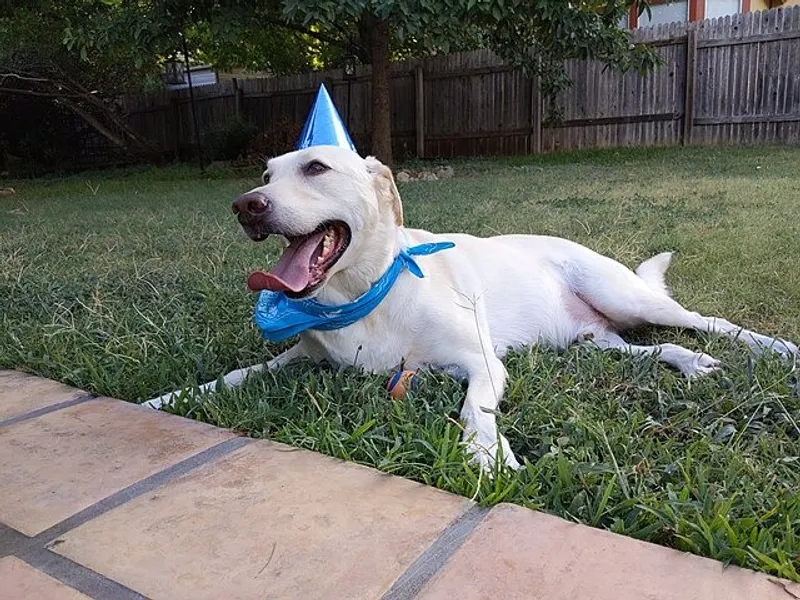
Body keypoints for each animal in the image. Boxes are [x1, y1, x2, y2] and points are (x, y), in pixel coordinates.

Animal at [146, 145, 797, 470]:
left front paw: (486, 453)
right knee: (648, 348)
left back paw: (776, 349)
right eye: (264, 174)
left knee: (705, 321)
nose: (245, 205)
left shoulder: (481, 360)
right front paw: (166, 400)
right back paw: (689, 363)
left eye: (315, 168)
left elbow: (474, 407)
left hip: (624, 295)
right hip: (592, 341)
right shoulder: (300, 359)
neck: (362, 295)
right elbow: (235, 374)